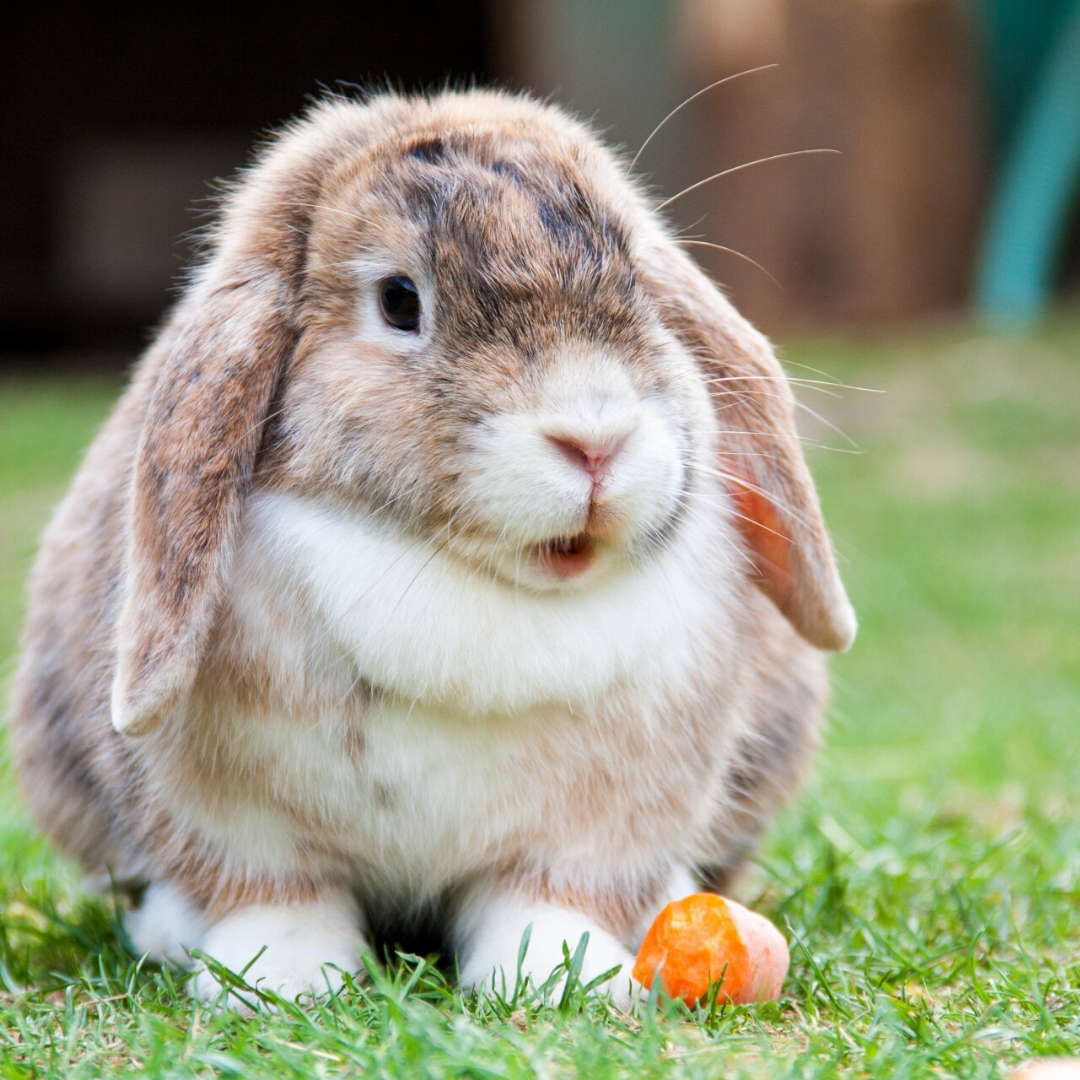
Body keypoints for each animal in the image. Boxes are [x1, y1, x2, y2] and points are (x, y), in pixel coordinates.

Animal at [9, 88, 855, 1008]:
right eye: (399, 301)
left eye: (636, 279)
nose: (595, 441)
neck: (466, 580)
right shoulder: (238, 825)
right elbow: (277, 897)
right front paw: (280, 981)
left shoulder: (596, 830)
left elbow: (548, 901)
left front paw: (562, 981)